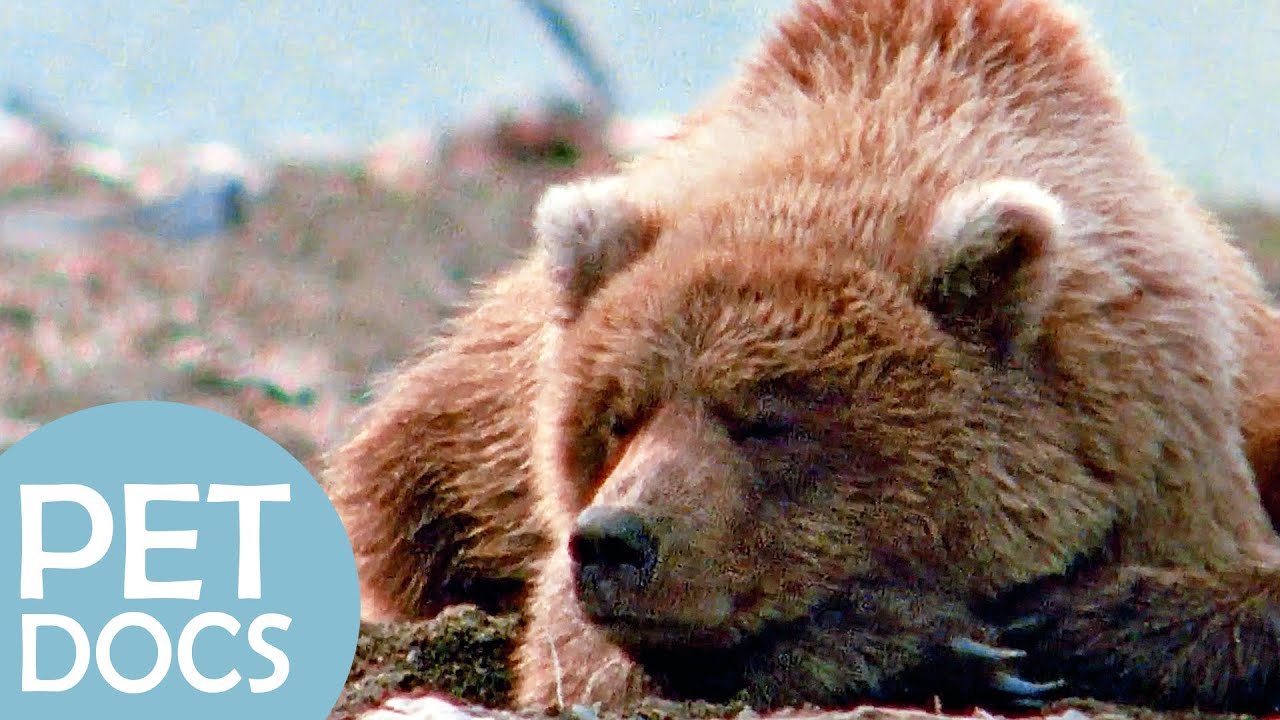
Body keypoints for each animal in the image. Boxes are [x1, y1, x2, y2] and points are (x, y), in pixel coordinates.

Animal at [323, 0, 1280, 713]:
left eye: (768, 419)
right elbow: (584, 656)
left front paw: (1063, 619)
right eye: (618, 414)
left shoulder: (1189, 442)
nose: (616, 543)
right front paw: (939, 641)